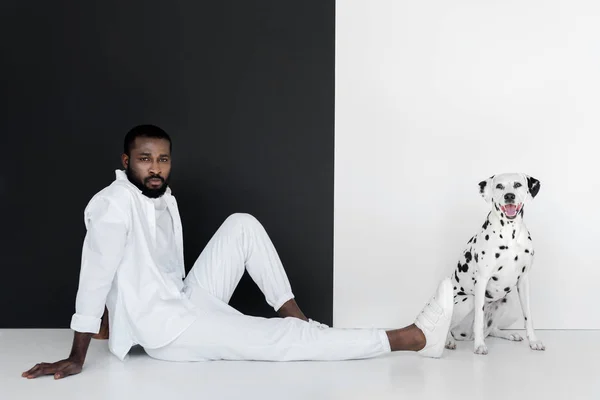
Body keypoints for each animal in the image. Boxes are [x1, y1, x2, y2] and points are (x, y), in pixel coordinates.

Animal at [446, 173, 544, 354]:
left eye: (517, 184)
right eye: (499, 186)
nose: (509, 196)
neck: (510, 233)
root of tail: (465, 335)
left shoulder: (524, 280)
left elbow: (528, 316)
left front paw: (533, 341)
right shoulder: (482, 280)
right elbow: (478, 318)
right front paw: (479, 346)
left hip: (507, 301)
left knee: (490, 330)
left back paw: (508, 334)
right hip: (467, 300)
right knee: (448, 327)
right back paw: (450, 340)